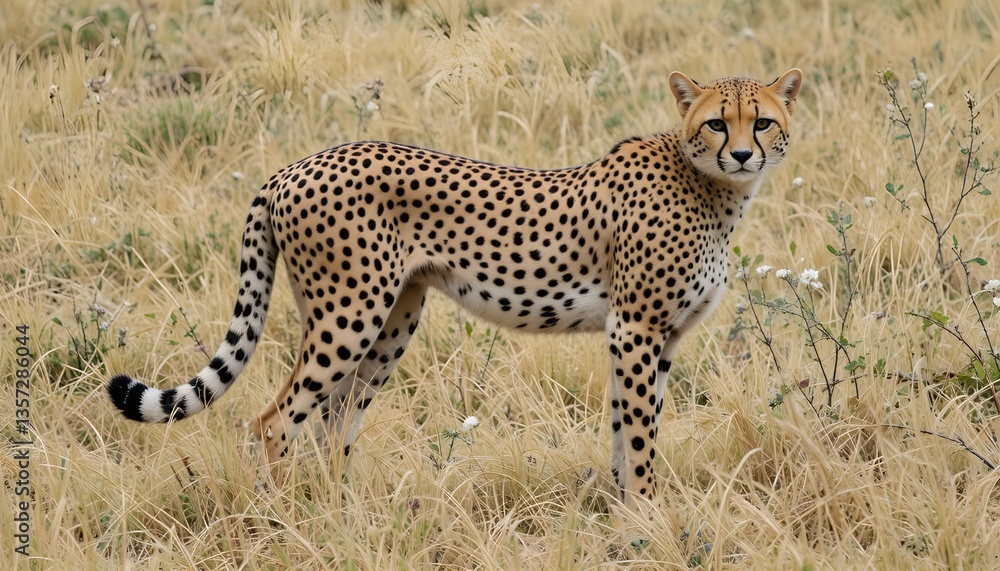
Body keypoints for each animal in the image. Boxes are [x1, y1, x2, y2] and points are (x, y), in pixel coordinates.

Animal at [107, 68, 802, 511]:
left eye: (763, 122)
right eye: (717, 124)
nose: (744, 155)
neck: (713, 188)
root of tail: (293, 166)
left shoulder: (655, 338)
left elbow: (624, 427)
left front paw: (620, 511)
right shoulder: (636, 328)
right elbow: (639, 435)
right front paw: (648, 517)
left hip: (393, 319)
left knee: (335, 420)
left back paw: (343, 515)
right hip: (349, 314)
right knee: (275, 419)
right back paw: (284, 519)